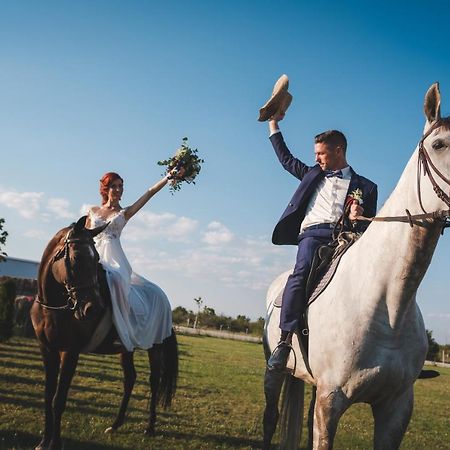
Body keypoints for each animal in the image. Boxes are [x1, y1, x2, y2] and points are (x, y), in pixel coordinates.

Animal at [29, 216, 178, 448]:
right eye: (77, 257)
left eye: (97, 258)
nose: (94, 308)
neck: (51, 306)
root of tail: (164, 298)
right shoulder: (47, 349)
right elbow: (47, 395)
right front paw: (44, 442)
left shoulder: (69, 352)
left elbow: (59, 400)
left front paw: (55, 443)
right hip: (127, 348)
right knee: (130, 379)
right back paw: (115, 425)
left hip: (155, 347)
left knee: (154, 381)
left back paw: (150, 428)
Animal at [262, 82, 448, 448]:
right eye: (438, 144)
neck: (388, 305)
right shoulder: (331, 400)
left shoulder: (396, 409)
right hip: (275, 372)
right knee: (270, 417)